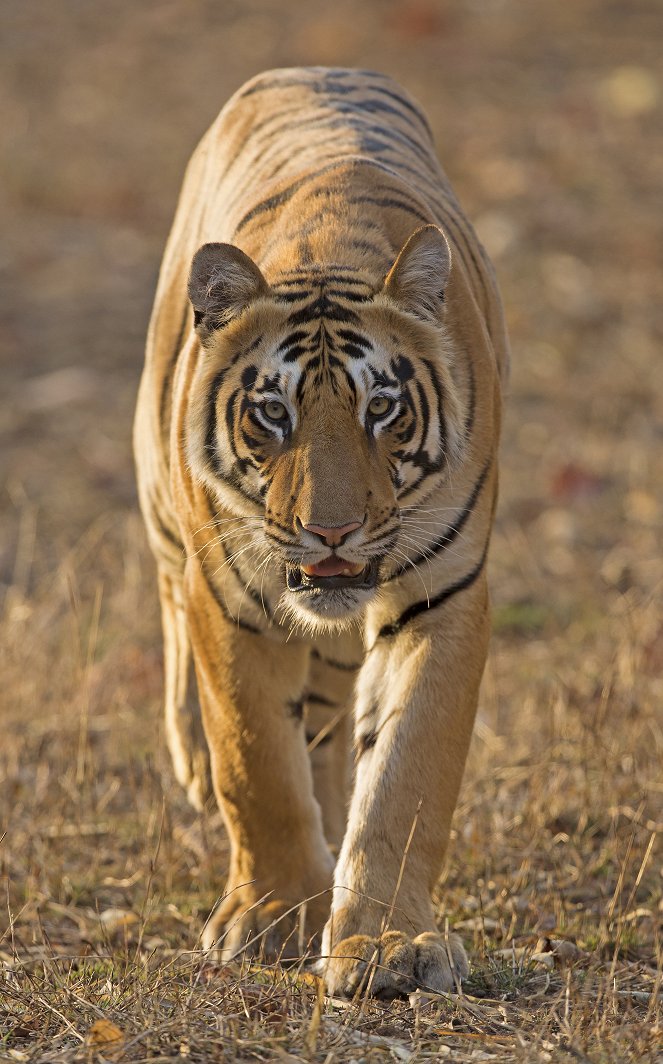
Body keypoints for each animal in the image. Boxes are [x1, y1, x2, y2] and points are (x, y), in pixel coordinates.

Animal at [133, 66, 508, 995]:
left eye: (381, 409)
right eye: (273, 413)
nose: (330, 532)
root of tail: (311, 69)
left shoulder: (444, 595)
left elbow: (407, 774)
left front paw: (387, 943)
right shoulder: (228, 596)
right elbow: (254, 760)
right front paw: (271, 919)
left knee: (334, 718)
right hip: (160, 495)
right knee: (169, 608)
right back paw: (193, 761)